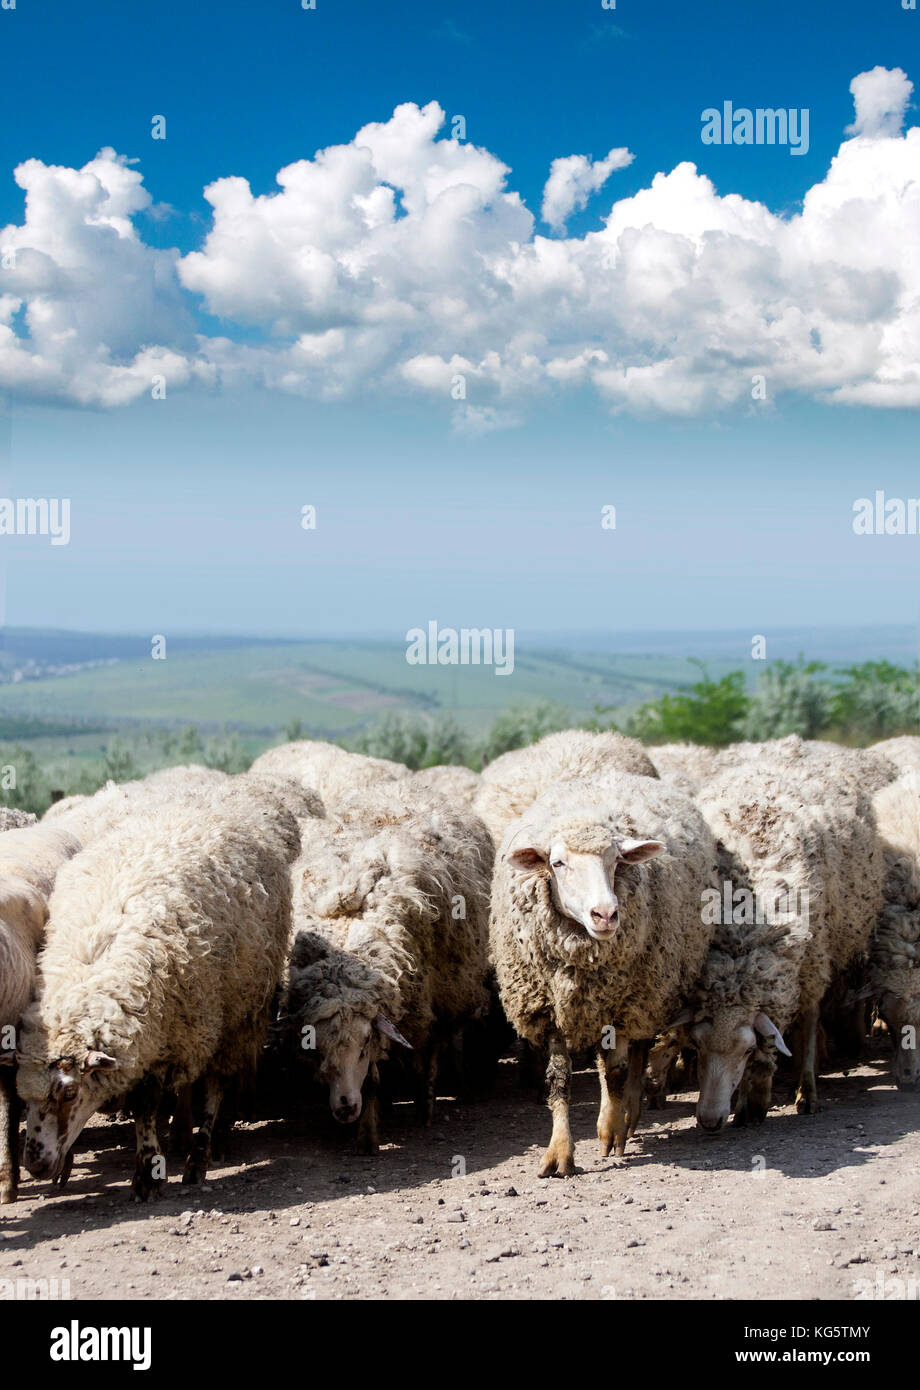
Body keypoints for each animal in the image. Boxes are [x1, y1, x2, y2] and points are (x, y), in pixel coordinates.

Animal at [16, 780, 301, 1199]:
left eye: (68, 1093)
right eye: (24, 1095)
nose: (35, 1165)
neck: (96, 968)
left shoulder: (171, 1034)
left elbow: (155, 1103)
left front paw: (157, 1170)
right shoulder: (151, 1037)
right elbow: (147, 1106)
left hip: (233, 1009)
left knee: (218, 1080)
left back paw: (206, 1145)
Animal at [278, 780, 493, 1153]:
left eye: (364, 1045)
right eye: (317, 1049)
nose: (345, 1107)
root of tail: (400, 786)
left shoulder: (421, 1008)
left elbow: (402, 1069)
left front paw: (374, 1130)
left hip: (447, 992)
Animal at [489, 769, 717, 1176]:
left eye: (615, 860)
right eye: (557, 863)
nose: (607, 914)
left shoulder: (621, 1004)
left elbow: (615, 1073)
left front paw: (611, 1132)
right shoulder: (551, 1007)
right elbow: (559, 1079)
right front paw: (559, 1153)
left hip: (648, 991)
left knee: (635, 1054)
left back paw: (628, 1116)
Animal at [681, 759, 886, 1131]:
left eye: (747, 1050)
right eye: (697, 1044)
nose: (709, 1121)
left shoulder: (811, 965)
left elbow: (806, 1025)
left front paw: (802, 1092)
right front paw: (746, 1103)